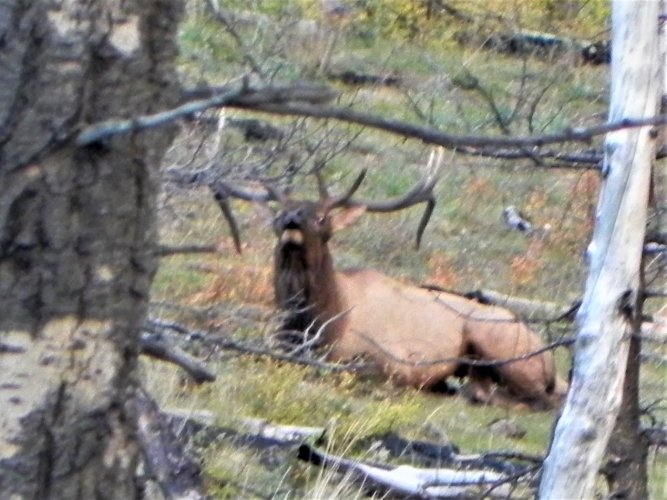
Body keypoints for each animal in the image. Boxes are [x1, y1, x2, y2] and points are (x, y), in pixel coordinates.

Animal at [218, 150, 568, 408]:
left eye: (321, 218)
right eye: (278, 216)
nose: (292, 218)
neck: (320, 323)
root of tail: (550, 360)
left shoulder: (396, 358)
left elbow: (366, 366)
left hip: (499, 340)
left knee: (538, 399)